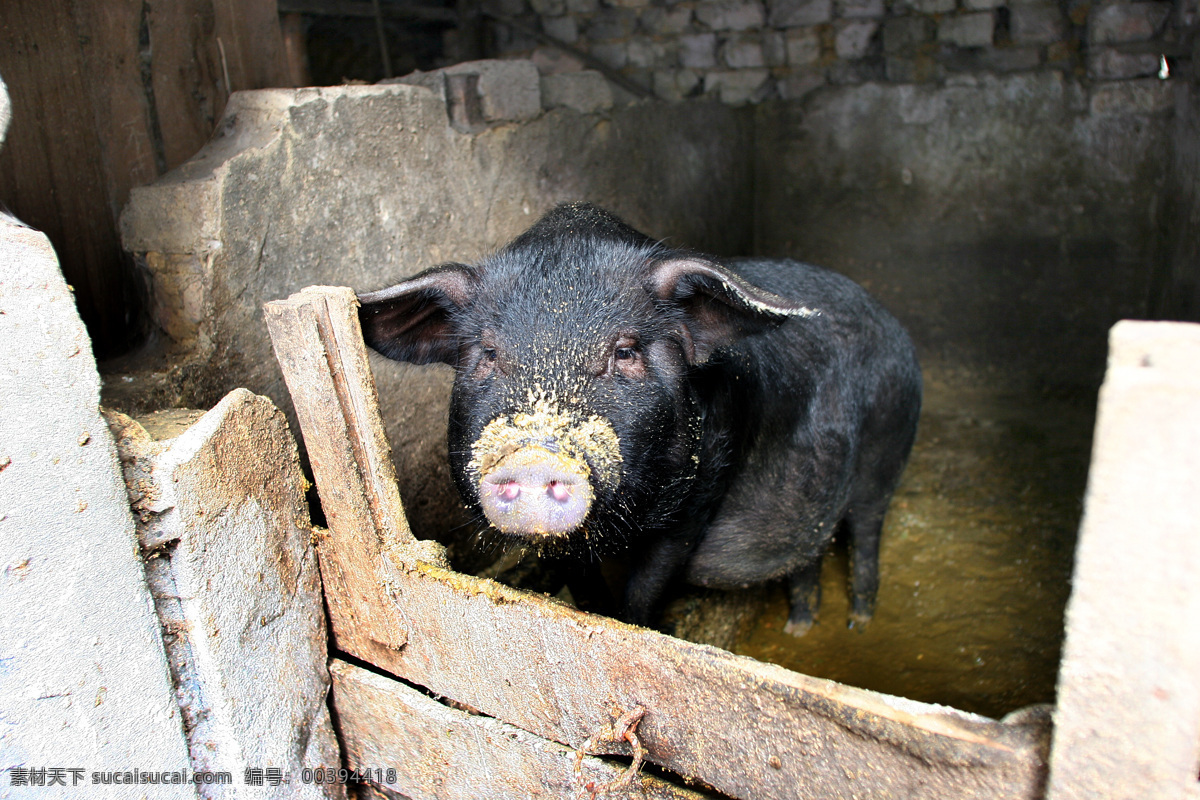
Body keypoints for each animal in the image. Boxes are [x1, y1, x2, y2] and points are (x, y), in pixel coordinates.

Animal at [355, 205, 916, 638]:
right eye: (489, 354)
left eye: (625, 352)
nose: (536, 454)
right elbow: (584, 587)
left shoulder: (700, 493)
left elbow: (648, 586)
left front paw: (634, 627)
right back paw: (799, 626)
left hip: (888, 447)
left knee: (867, 530)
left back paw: (859, 622)